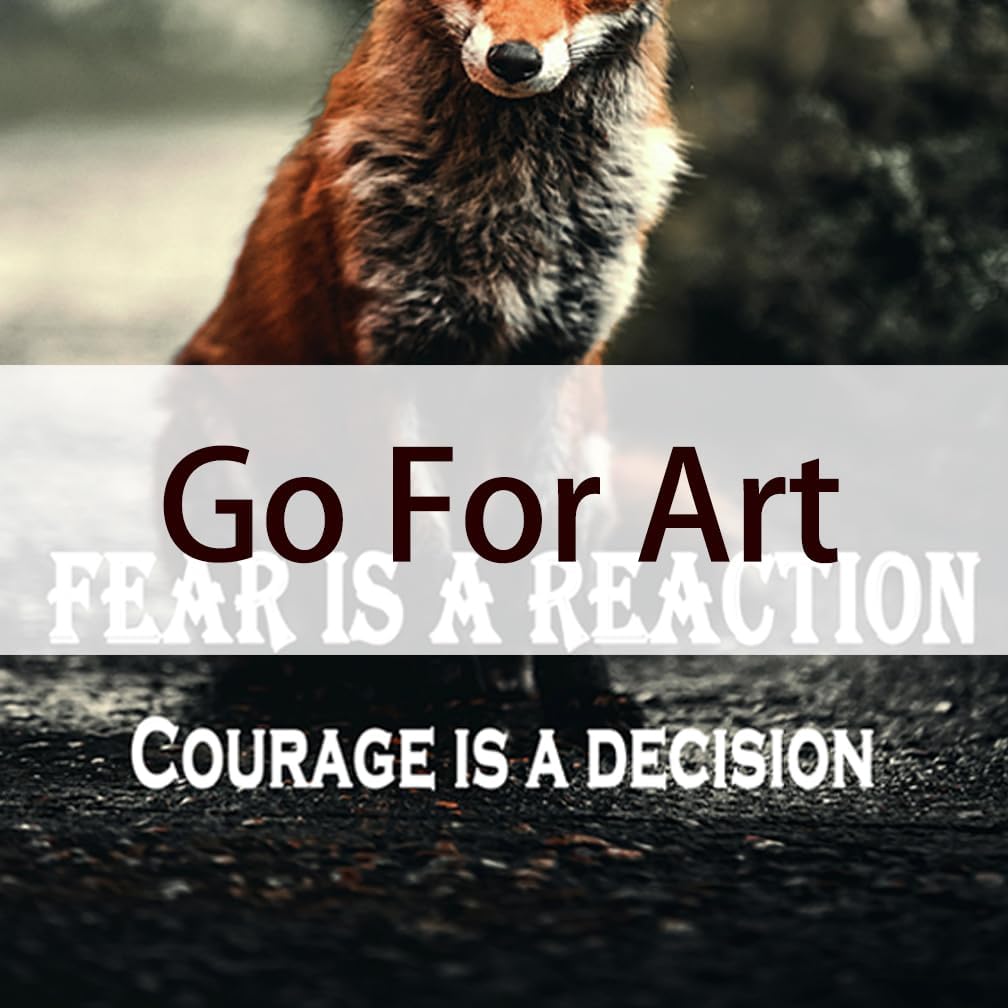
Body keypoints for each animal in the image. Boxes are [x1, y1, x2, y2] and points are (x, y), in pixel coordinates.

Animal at [177, 0, 685, 727]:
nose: (514, 60)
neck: (510, 211)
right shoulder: (395, 350)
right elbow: (428, 548)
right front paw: (451, 690)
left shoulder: (559, 351)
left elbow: (555, 551)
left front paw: (582, 685)